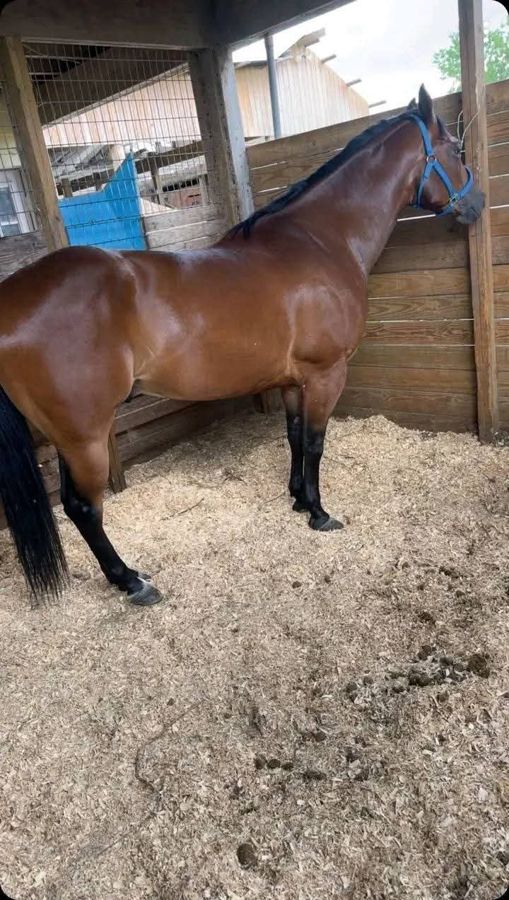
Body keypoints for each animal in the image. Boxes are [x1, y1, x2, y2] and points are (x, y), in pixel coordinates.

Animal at [0, 85, 484, 606]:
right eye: (455, 150)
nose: (477, 202)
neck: (321, 241)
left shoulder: (294, 380)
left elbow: (294, 437)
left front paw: (298, 499)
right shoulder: (326, 374)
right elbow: (315, 442)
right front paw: (320, 513)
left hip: (66, 436)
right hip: (85, 436)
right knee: (84, 508)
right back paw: (132, 581)